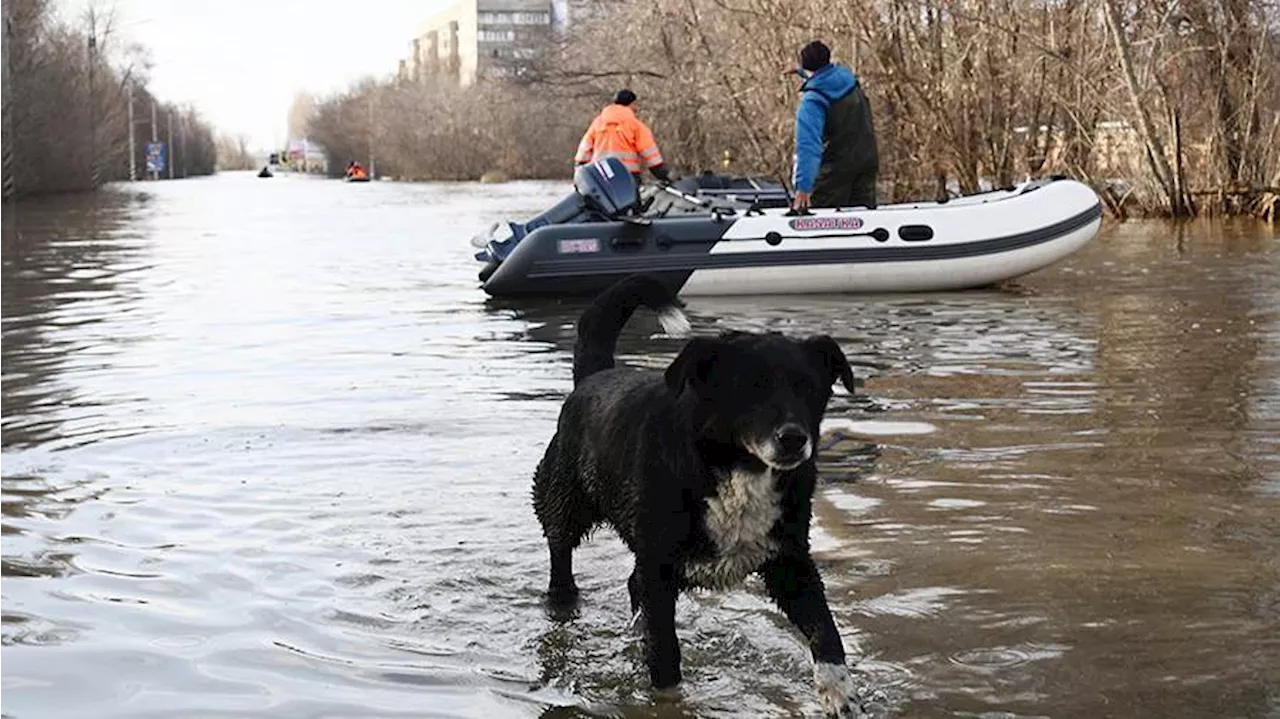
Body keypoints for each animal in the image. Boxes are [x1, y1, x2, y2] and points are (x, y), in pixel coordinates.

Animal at [529, 273, 870, 716]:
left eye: (810, 388)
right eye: (750, 388)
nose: (795, 440)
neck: (738, 469)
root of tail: (594, 377)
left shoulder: (789, 560)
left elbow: (825, 629)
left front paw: (841, 694)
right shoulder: (659, 568)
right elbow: (665, 654)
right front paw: (668, 700)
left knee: (632, 586)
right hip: (563, 504)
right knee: (562, 555)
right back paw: (563, 601)